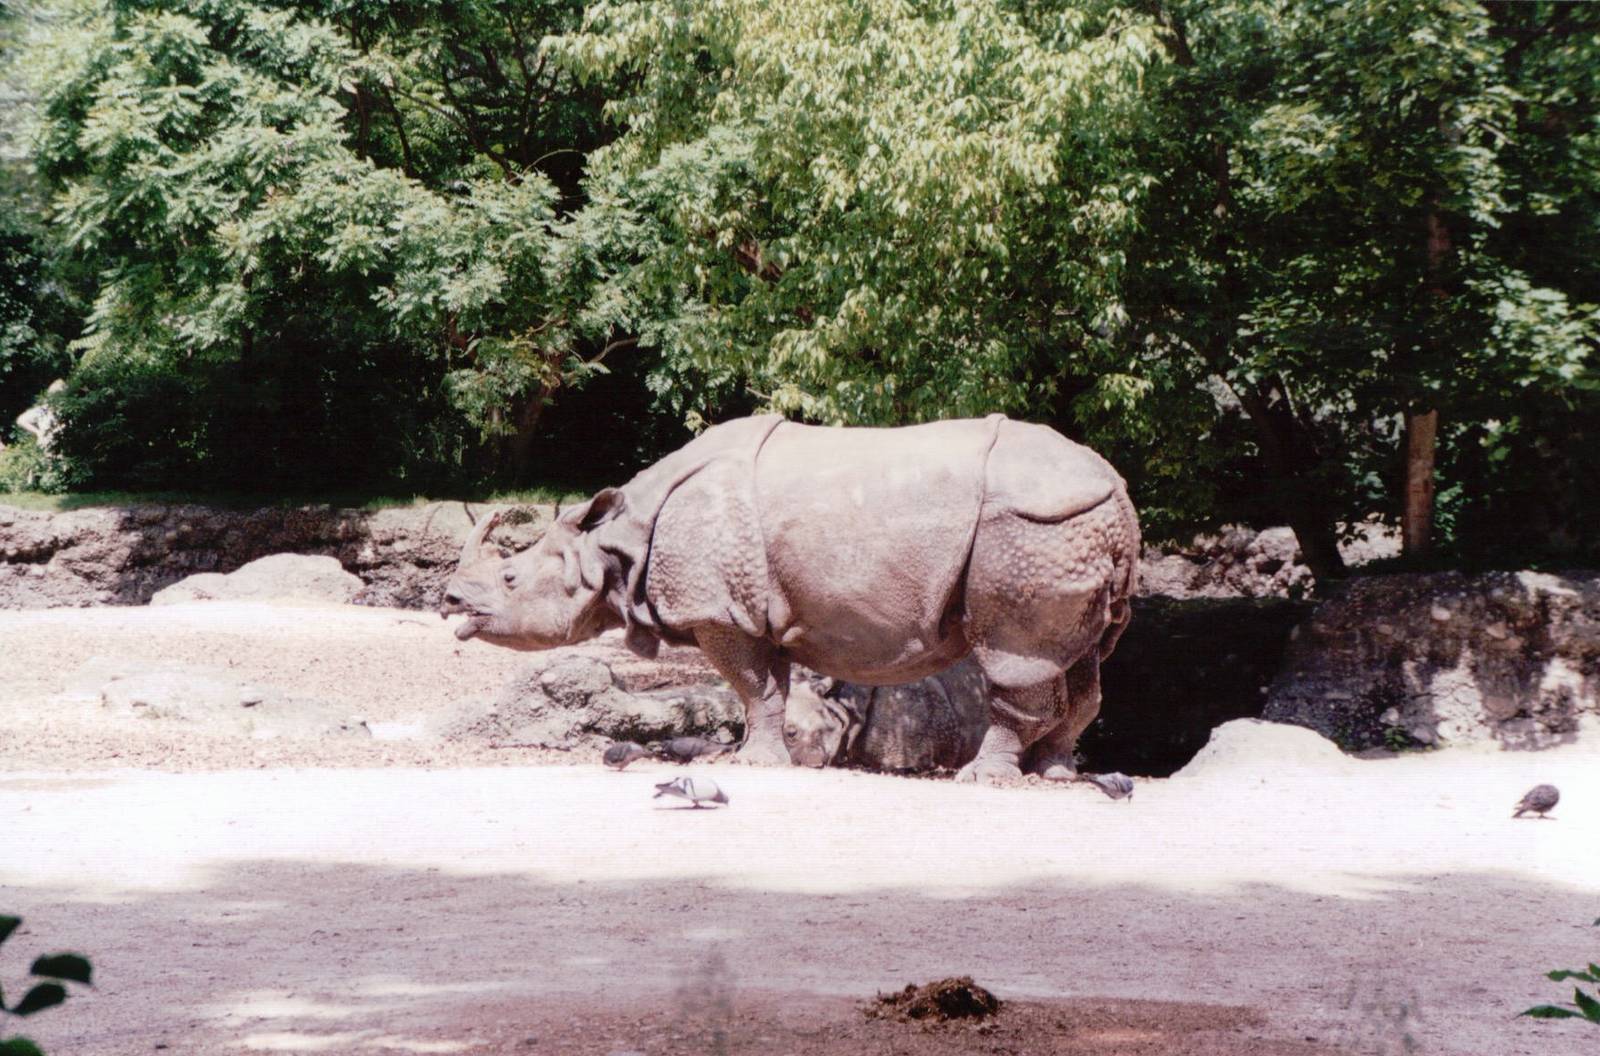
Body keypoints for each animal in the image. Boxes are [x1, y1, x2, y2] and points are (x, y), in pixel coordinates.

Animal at [440, 414, 1139, 784]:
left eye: (509, 579)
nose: (448, 603)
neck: (615, 545)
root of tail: (1118, 489)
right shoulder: (752, 606)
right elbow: (768, 687)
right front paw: (754, 757)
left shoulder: (718, 609)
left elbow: (750, 686)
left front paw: (750, 766)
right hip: (1071, 530)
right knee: (1083, 662)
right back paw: (1056, 776)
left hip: (1032, 528)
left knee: (1015, 654)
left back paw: (983, 778)